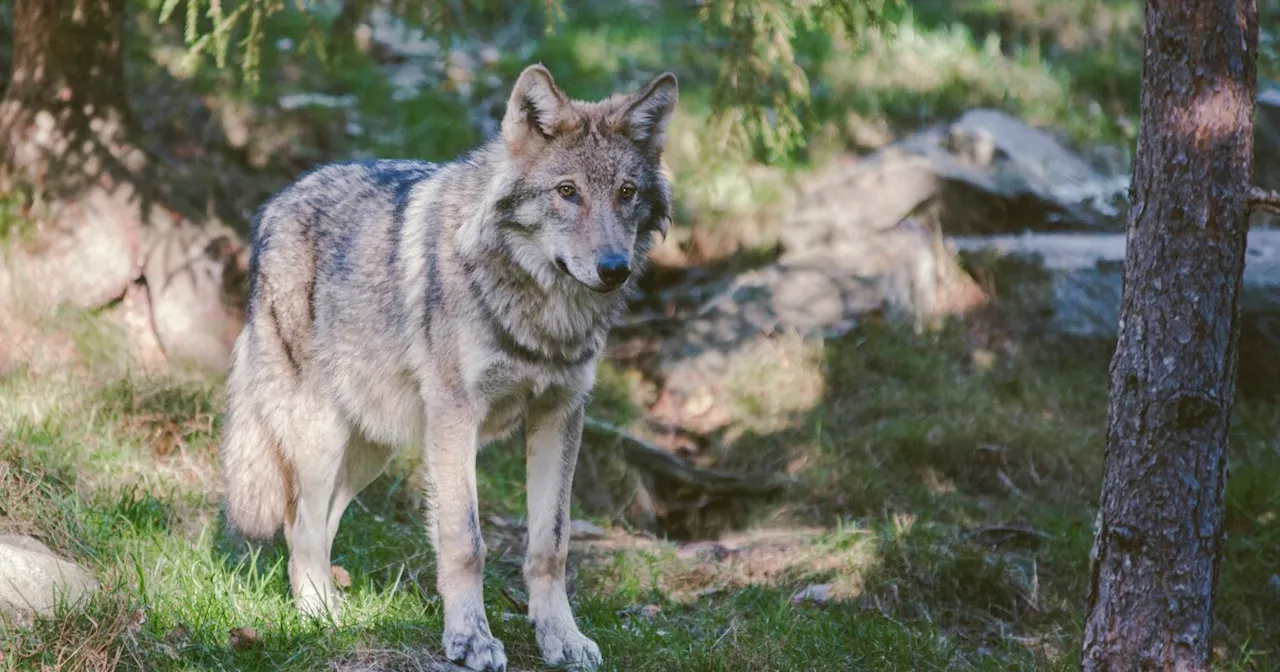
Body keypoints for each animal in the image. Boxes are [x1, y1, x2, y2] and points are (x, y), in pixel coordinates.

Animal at [217, 64, 680, 670]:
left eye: (626, 193)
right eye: (567, 192)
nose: (614, 269)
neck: (544, 315)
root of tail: (274, 205)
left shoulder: (560, 414)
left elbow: (551, 544)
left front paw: (561, 637)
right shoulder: (458, 419)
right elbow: (465, 542)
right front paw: (470, 639)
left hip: (374, 448)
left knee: (316, 523)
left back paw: (335, 609)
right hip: (321, 436)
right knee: (301, 526)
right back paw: (321, 619)